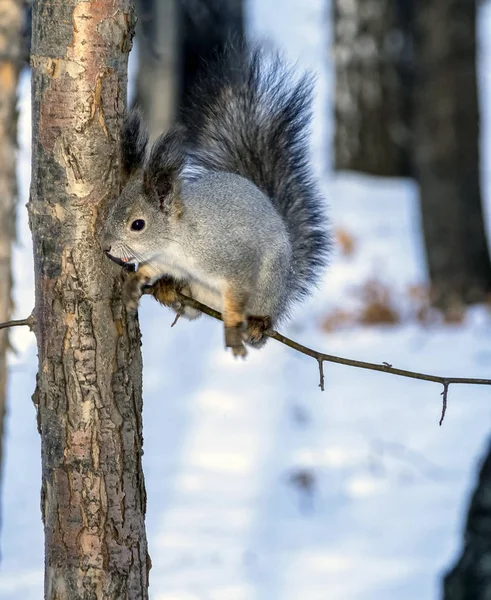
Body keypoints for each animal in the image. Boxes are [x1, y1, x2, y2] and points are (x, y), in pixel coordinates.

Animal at [100, 45, 330, 360]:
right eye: (113, 209)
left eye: (138, 225)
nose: (106, 247)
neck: (176, 243)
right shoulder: (163, 260)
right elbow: (151, 269)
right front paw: (138, 281)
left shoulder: (231, 260)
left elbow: (237, 287)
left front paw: (234, 328)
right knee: (188, 310)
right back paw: (170, 290)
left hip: (267, 288)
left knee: (260, 326)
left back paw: (257, 326)